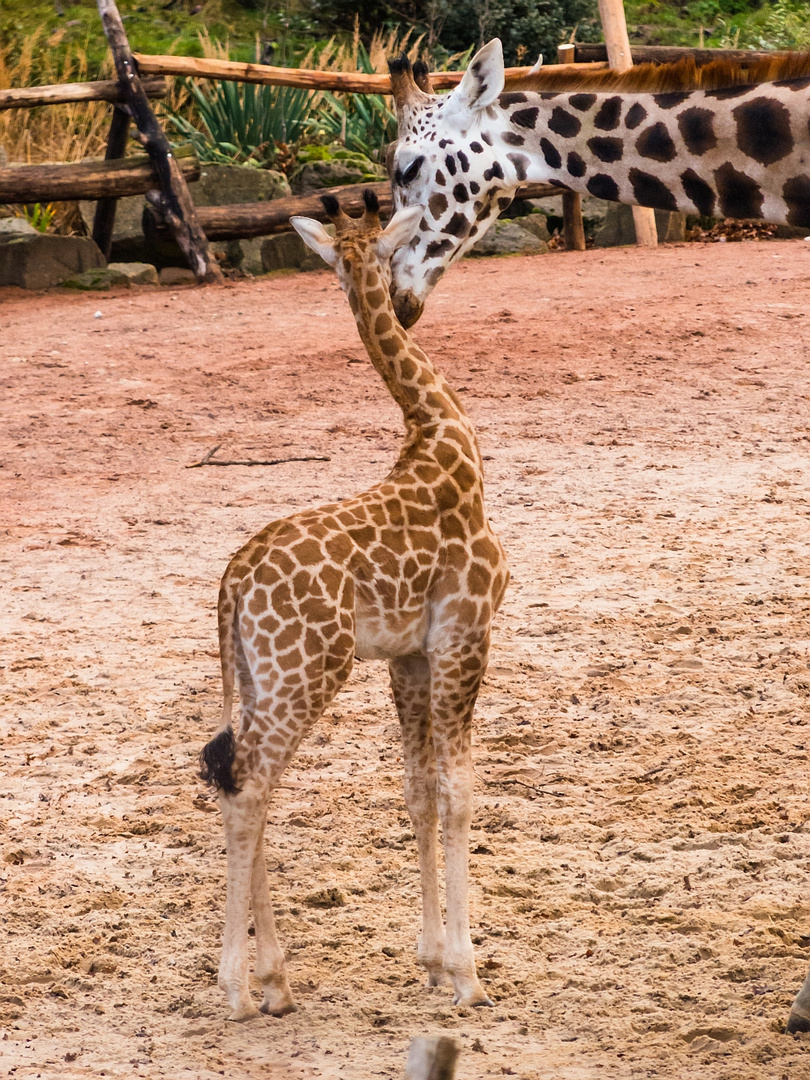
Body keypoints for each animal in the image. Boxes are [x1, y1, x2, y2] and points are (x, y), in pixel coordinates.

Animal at [201, 187, 507, 1019]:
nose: (402, 300)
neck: (441, 434)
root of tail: (231, 584)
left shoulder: (408, 656)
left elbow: (416, 791)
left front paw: (430, 961)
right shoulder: (465, 633)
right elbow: (458, 791)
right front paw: (466, 972)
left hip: (263, 678)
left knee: (243, 781)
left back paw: (275, 982)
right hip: (305, 672)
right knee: (250, 790)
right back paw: (239, 988)